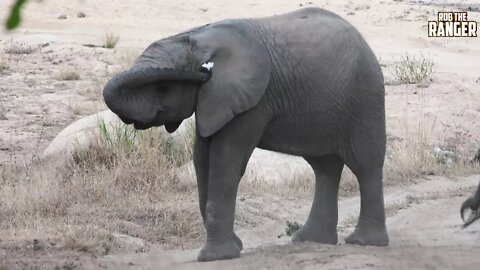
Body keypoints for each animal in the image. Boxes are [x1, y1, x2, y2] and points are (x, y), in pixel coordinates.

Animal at [103, 7, 388, 262]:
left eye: (163, 88)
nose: (205, 71)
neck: (198, 39)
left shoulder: (253, 101)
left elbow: (226, 161)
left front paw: (215, 257)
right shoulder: (215, 100)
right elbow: (202, 159)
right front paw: (235, 246)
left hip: (365, 98)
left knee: (365, 164)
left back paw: (364, 242)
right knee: (324, 166)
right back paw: (312, 240)